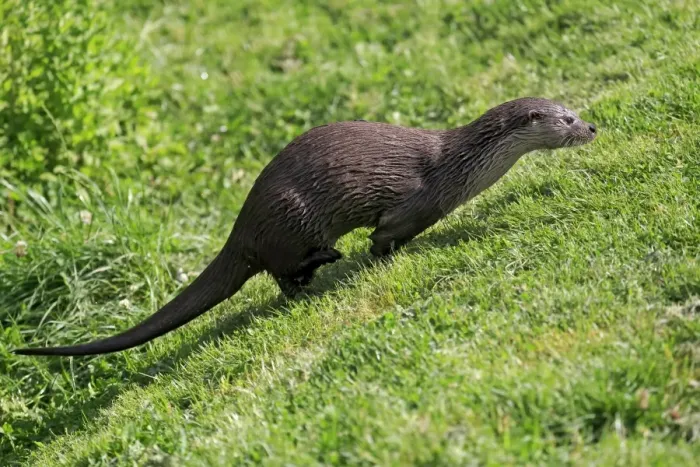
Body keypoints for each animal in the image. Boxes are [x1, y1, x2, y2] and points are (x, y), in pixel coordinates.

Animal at [15, 97, 597, 356]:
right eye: (565, 118)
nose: (591, 126)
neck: (459, 167)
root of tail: (243, 225)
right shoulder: (415, 202)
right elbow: (385, 236)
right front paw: (379, 256)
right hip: (291, 217)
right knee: (284, 270)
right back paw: (326, 261)